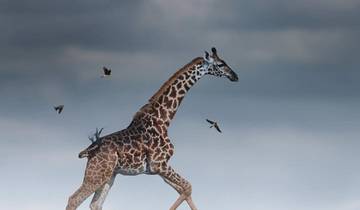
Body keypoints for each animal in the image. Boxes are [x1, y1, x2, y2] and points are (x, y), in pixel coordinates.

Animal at [67, 47, 239, 210]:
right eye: (220, 64)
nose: (235, 76)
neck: (163, 120)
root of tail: (89, 150)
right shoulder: (159, 164)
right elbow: (188, 187)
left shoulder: (157, 168)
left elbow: (184, 189)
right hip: (97, 173)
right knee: (73, 199)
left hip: (109, 175)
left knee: (95, 204)